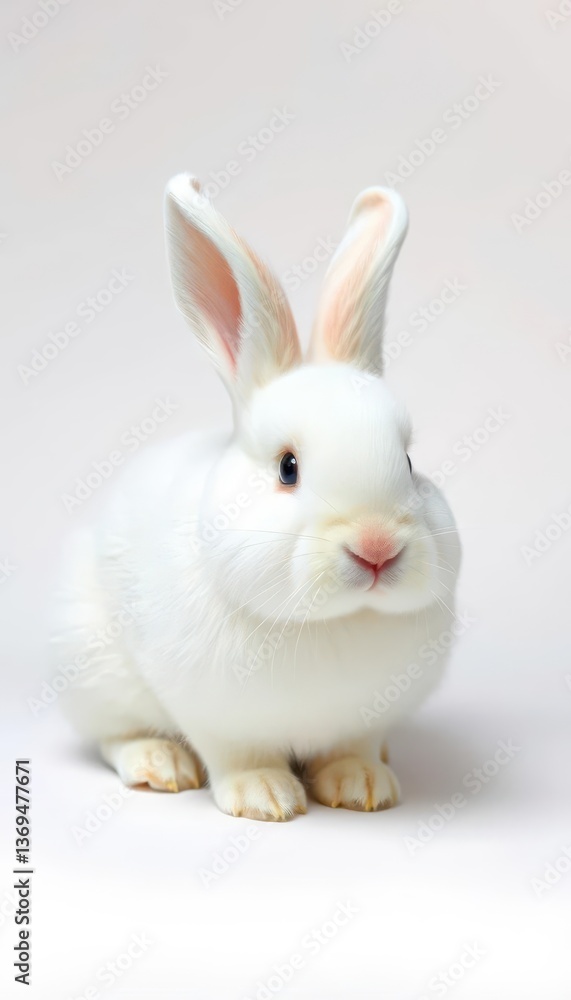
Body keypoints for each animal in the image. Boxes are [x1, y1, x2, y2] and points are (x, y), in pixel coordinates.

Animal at [52, 173, 461, 821]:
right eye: (287, 468)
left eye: (409, 462)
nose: (376, 548)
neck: (334, 622)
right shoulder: (217, 719)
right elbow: (239, 757)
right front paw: (265, 798)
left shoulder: (364, 719)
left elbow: (352, 747)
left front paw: (363, 785)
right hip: (91, 669)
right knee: (113, 736)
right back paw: (159, 764)